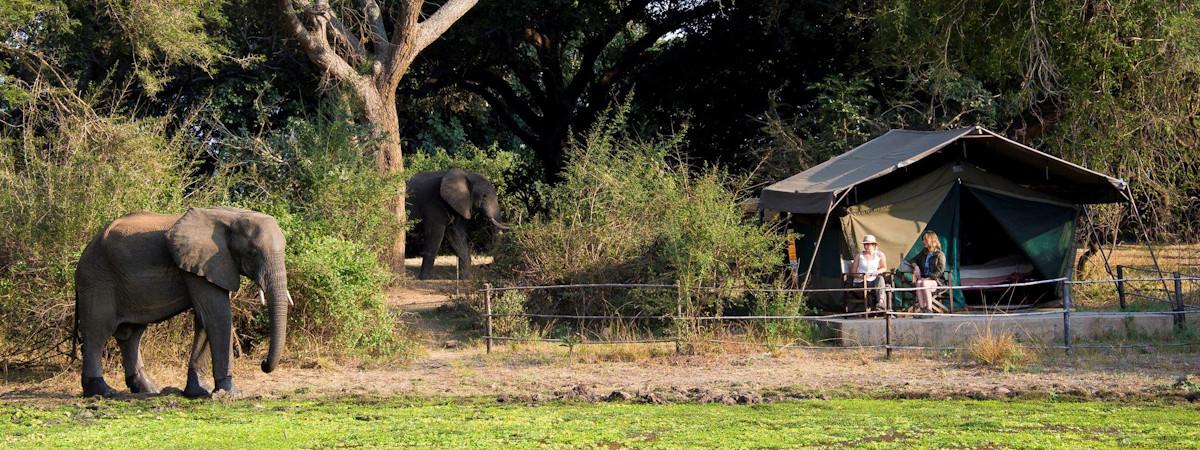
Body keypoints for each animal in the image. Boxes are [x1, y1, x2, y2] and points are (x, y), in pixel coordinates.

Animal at [73, 207, 291, 398]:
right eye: (252, 253)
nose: (263, 363)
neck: (232, 216)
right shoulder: (200, 264)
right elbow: (217, 316)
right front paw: (231, 393)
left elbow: (205, 319)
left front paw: (199, 392)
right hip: (96, 280)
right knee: (97, 331)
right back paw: (102, 391)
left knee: (131, 334)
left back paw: (149, 390)